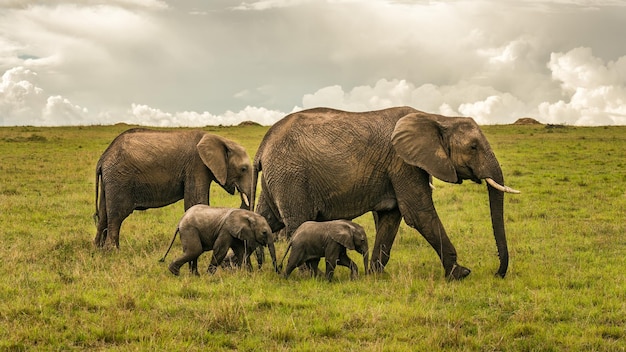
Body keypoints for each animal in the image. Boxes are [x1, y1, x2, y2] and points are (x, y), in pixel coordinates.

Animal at [95, 128, 251, 249]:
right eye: (243, 169)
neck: (220, 139)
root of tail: (103, 158)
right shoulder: (196, 166)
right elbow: (196, 202)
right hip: (119, 178)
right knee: (117, 215)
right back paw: (113, 251)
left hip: (109, 181)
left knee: (103, 215)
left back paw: (98, 250)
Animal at [251, 106, 520, 280]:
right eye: (473, 147)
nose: (497, 273)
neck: (436, 118)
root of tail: (262, 146)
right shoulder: (403, 163)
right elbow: (419, 214)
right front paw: (461, 273)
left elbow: (391, 217)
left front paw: (375, 274)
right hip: (291, 176)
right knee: (297, 221)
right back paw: (310, 276)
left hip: (278, 177)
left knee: (267, 219)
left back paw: (245, 269)